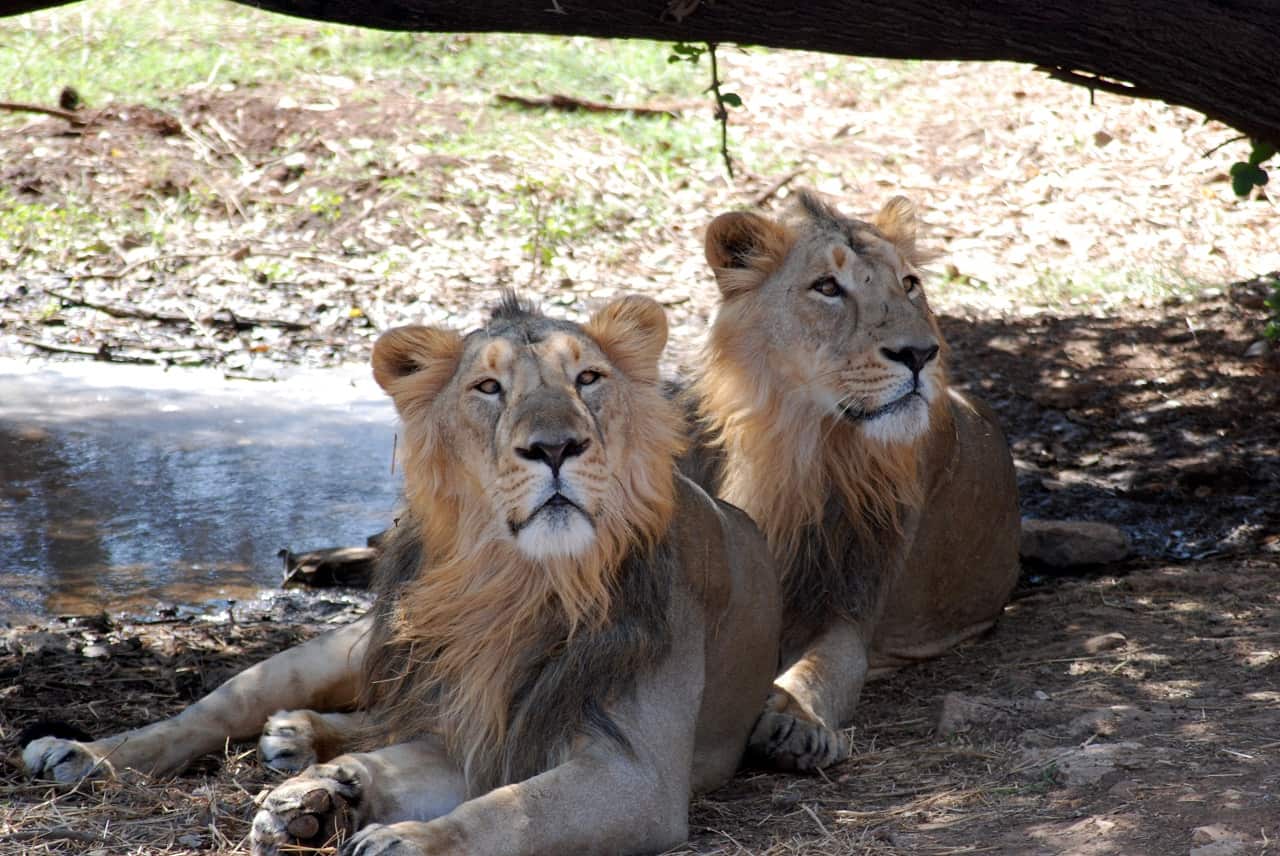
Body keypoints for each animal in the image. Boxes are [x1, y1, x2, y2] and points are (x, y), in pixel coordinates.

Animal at [24, 293, 781, 856]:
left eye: (588, 379)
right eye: (488, 387)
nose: (555, 447)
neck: (518, 583)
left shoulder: (636, 776)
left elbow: (512, 810)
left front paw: (407, 837)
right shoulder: (476, 726)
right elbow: (492, 792)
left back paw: (307, 758)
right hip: (347, 647)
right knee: (223, 708)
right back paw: (87, 754)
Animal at [686, 191, 1020, 772]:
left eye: (909, 283)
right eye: (827, 287)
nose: (920, 353)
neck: (797, 442)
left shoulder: (850, 601)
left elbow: (826, 666)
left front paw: (794, 718)